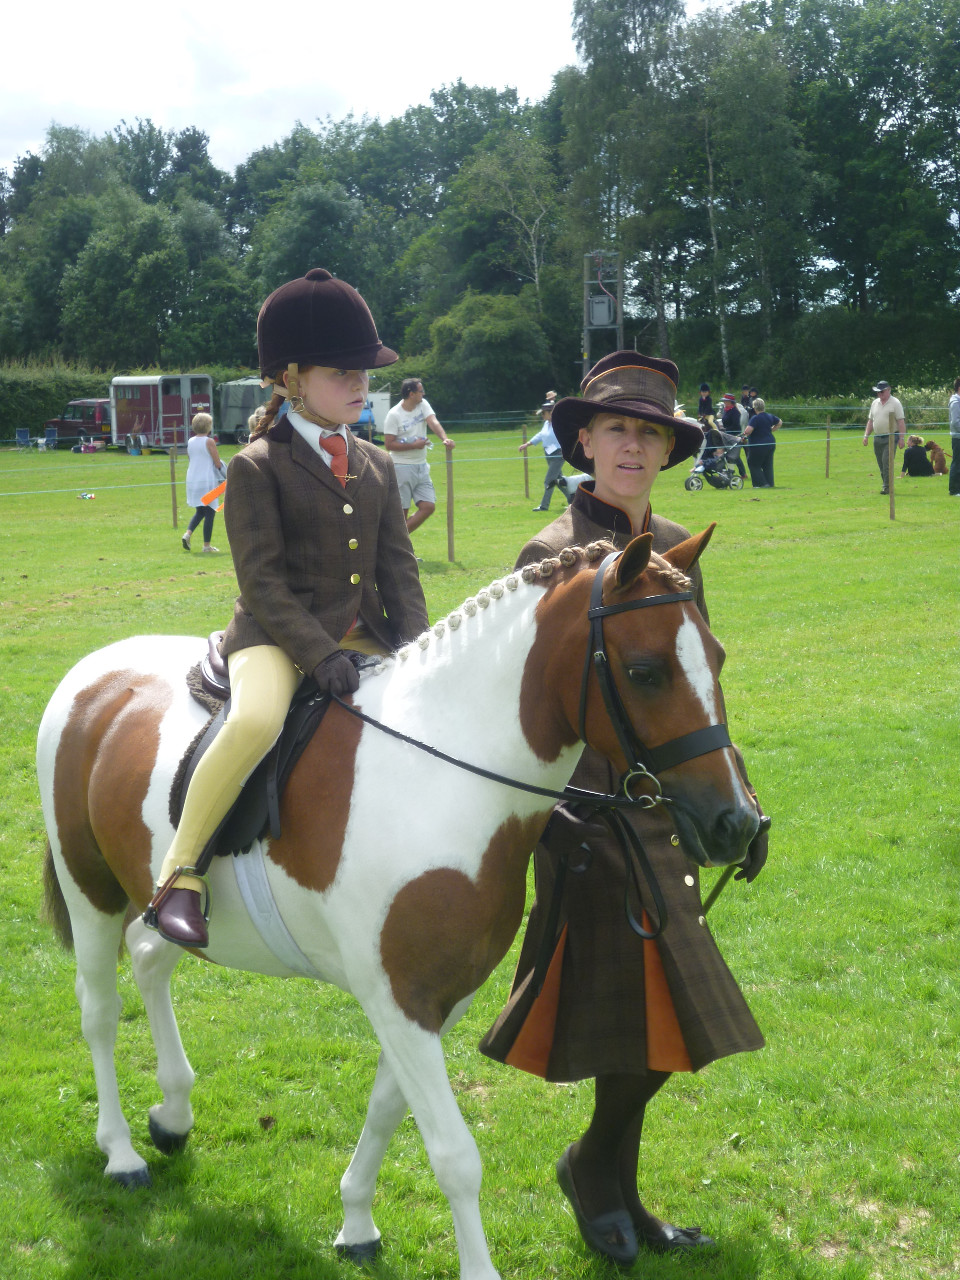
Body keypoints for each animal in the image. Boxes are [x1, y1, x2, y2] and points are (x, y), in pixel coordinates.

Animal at [37, 528, 759, 1280]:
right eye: (646, 671)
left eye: (716, 656)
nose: (736, 824)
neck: (443, 773)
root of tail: (94, 673)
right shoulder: (400, 998)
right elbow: (455, 1155)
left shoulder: (437, 1000)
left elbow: (387, 1110)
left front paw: (355, 1223)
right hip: (90, 891)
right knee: (98, 1012)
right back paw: (121, 1152)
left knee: (151, 957)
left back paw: (173, 1116)